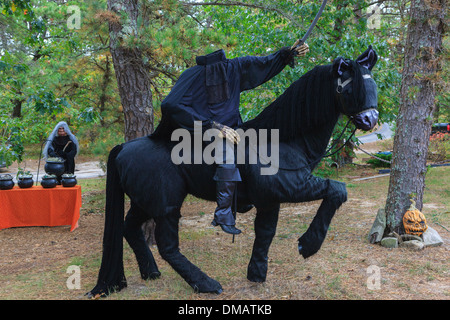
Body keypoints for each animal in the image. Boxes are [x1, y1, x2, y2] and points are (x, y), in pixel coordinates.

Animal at [88, 46, 380, 296]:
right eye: (350, 87)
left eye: (372, 83)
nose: (371, 120)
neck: (282, 141)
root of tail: (124, 147)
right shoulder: (293, 187)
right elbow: (337, 190)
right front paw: (308, 244)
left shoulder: (270, 199)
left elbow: (265, 233)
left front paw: (257, 273)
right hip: (166, 203)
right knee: (167, 246)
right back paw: (206, 283)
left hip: (144, 201)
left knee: (129, 228)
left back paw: (151, 272)